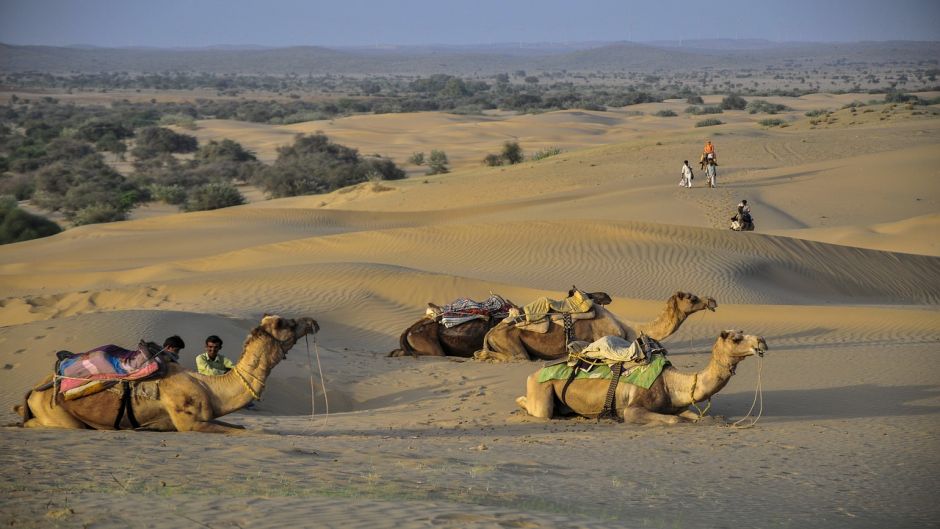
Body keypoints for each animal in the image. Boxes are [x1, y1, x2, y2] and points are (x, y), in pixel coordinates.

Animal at [15, 314, 319, 433]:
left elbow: (242, 427)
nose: (312, 322)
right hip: (57, 413)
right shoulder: (189, 423)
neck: (210, 388)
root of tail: (32, 390)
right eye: (285, 323)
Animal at [476, 291, 716, 362]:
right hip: (510, 344)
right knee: (518, 356)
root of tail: (491, 332)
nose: (711, 301)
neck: (628, 327)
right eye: (691, 298)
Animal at [515, 329, 767, 425]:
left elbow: (697, 416)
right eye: (736, 338)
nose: (761, 341)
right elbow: (674, 420)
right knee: (540, 410)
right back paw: (520, 401)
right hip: (542, 390)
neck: (671, 383)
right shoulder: (632, 408)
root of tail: (532, 374)